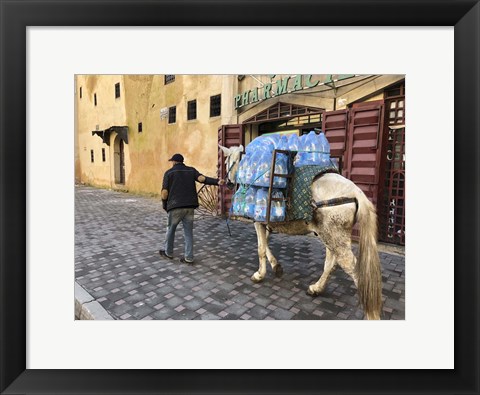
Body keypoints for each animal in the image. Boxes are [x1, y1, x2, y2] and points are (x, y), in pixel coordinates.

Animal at [220, 144, 382, 320]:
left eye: (227, 162)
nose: (228, 183)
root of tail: (356, 193)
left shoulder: (258, 222)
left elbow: (261, 248)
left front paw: (259, 274)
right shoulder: (266, 223)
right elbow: (267, 245)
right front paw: (276, 266)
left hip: (335, 238)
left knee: (353, 269)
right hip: (331, 237)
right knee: (331, 264)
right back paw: (316, 288)